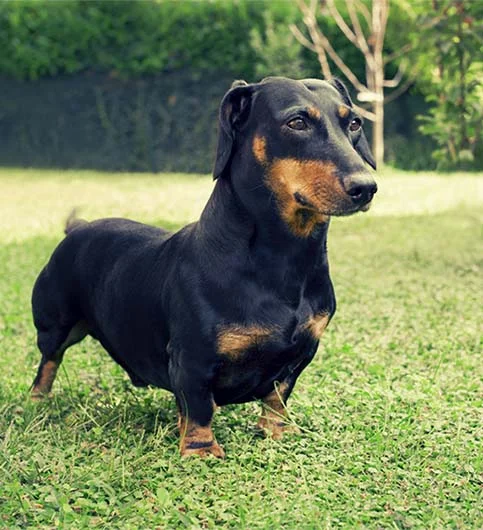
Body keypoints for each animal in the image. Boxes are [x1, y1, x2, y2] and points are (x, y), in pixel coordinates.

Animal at [31, 76, 378, 456]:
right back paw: (37, 399)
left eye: (354, 123)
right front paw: (200, 448)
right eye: (297, 122)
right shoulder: (192, 357)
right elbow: (198, 405)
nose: (367, 188)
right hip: (57, 325)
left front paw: (278, 430)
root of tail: (78, 228)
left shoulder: (301, 354)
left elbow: (278, 396)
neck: (282, 260)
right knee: (49, 360)